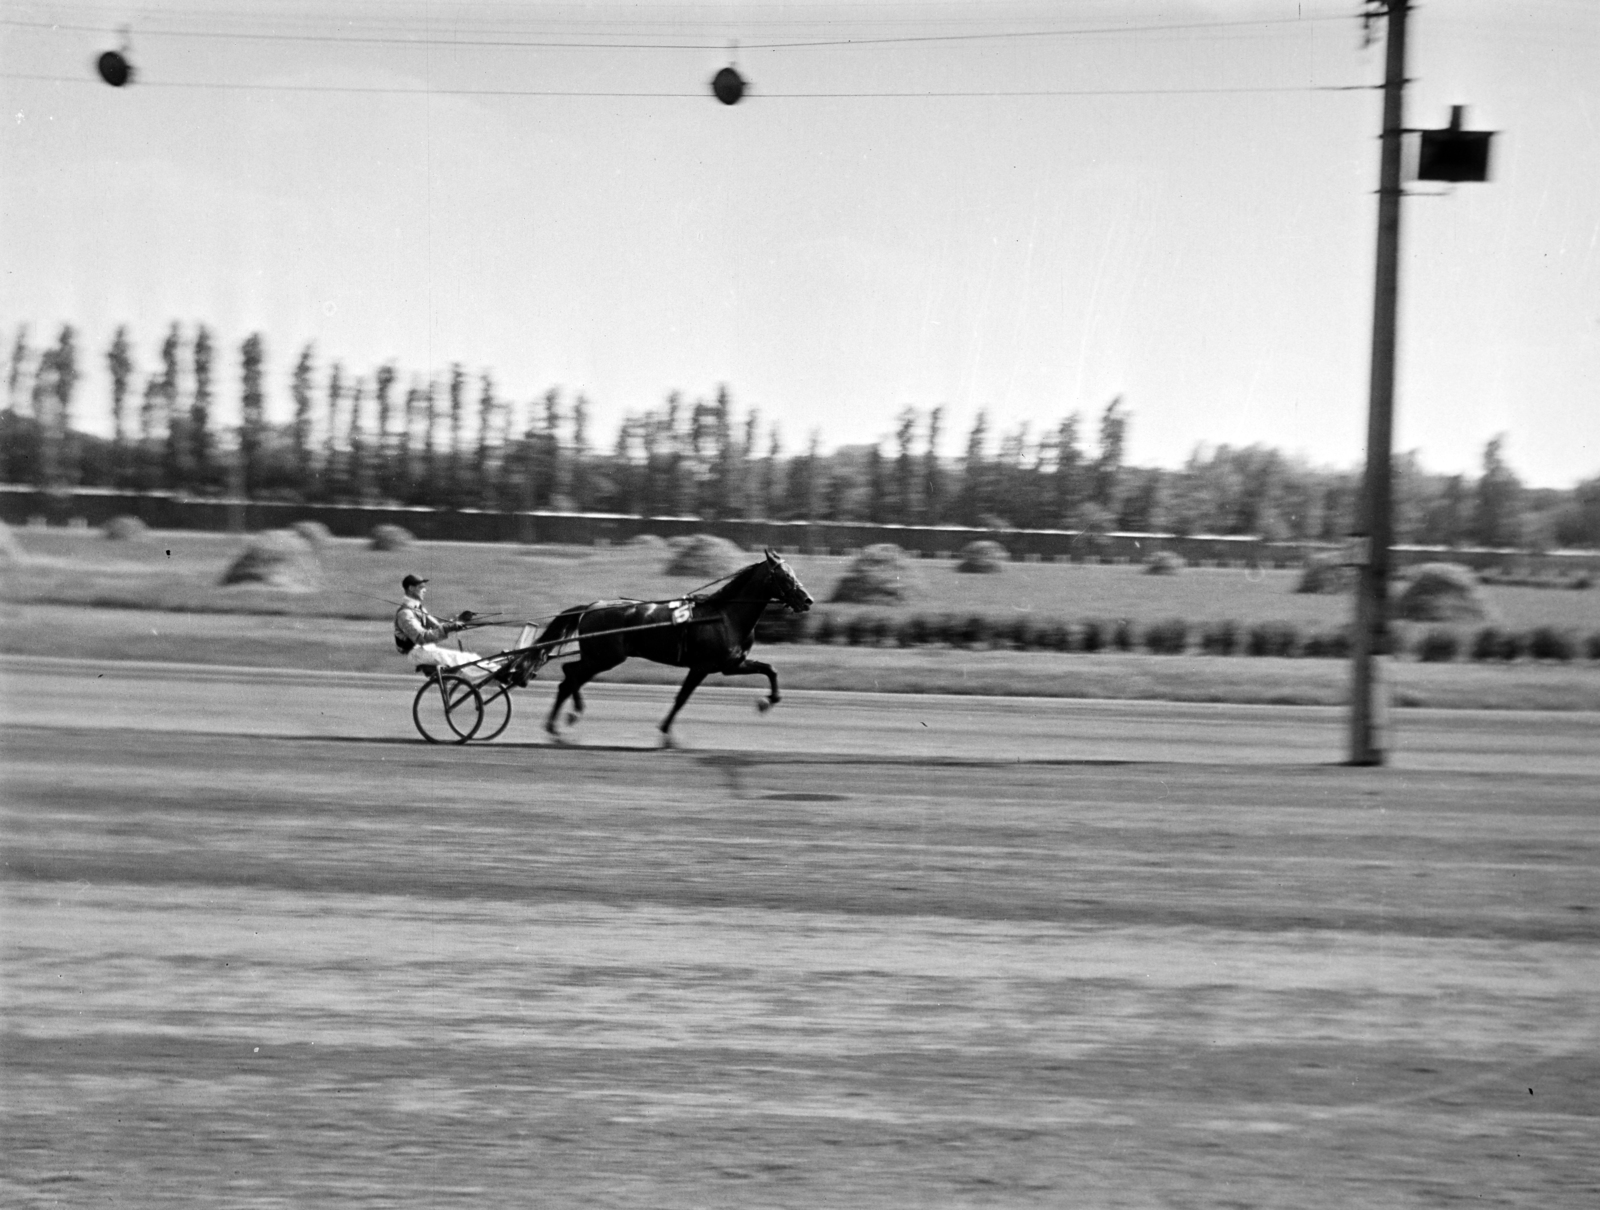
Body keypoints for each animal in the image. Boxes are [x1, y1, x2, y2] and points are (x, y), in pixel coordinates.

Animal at [524, 550, 812, 742]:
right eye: (785, 575)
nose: (807, 600)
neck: (725, 616)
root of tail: (592, 606)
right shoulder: (703, 666)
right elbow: (682, 698)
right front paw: (667, 733)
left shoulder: (731, 664)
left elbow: (770, 669)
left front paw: (768, 701)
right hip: (604, 657)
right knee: (570, 673)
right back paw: (571, 715)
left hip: (599, 657)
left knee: (568, 679)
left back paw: (556, 726)